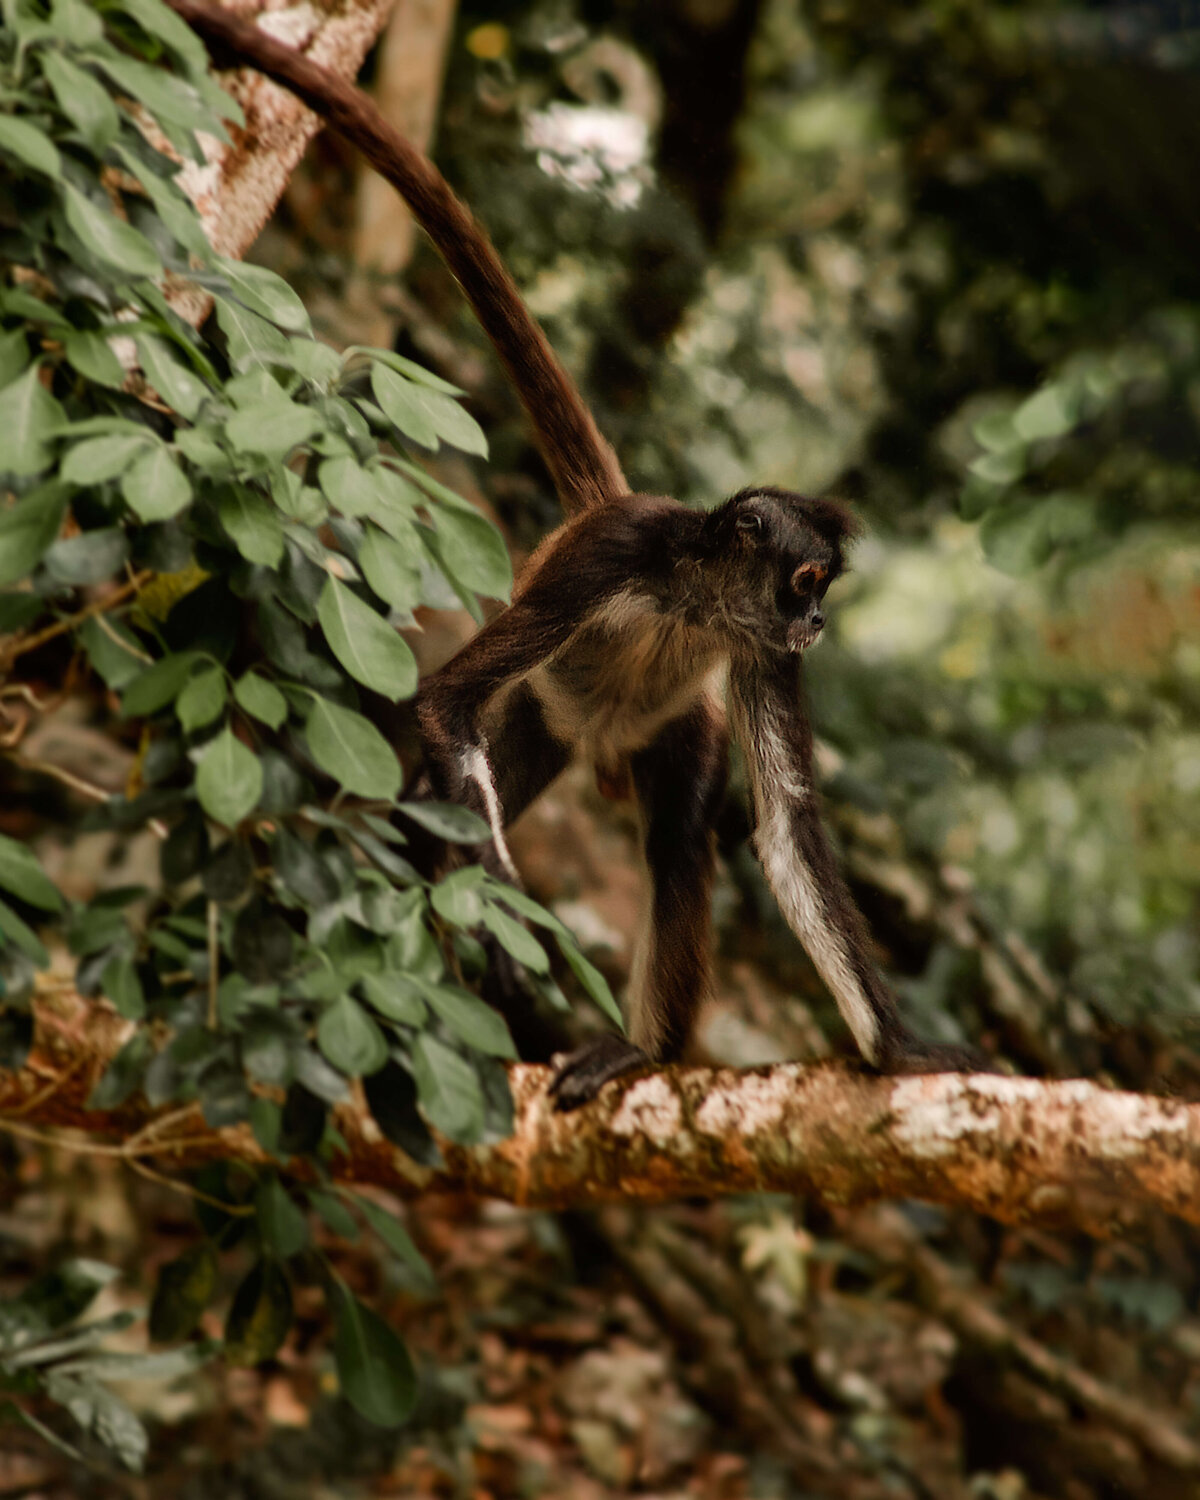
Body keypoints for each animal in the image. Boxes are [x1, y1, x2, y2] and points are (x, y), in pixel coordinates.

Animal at [168, 0, 978, 1104]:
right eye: (807, 583)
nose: (816, 623)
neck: (689, 593)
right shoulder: (613, 558)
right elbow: (443, 702)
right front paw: (499, 926)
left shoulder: (756, 652)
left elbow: (785, 835)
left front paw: (899, 1050)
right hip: (542, 712)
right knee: (431, 803)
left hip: (668, 730)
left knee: (678, 840)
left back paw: (642, 1046)